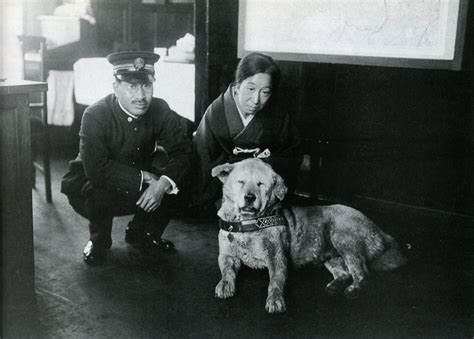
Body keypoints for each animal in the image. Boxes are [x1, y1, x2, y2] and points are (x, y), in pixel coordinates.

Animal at [213, 158, 406, 314]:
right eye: (240, 181)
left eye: (261, 184)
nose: (249, 197)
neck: (248, 224)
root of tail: (378, 229)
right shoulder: (227, 256)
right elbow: (227, 271)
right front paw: (224, 284)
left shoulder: (278, 259)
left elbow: (275, 282)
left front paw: (275, 300)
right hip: (332, 257)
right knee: (345, 272)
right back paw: (335, 286)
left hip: (344, 238)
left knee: (361, 272)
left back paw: (355, 289)